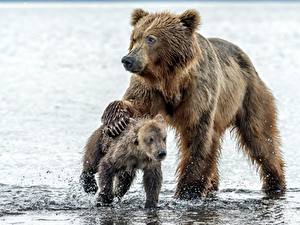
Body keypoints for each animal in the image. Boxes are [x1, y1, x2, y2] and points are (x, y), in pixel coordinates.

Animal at [81, 8, 284, 199]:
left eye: (151, 38)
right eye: (134, 37)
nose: (128, 60)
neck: (170, 81)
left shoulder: (199, 93)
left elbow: (197, 138)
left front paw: (188, 191)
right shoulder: (149, 90)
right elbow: (134, 105)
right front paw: (116, 120)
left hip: (250, 95)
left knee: (261, 138)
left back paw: (275, 182)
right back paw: (212, 185)